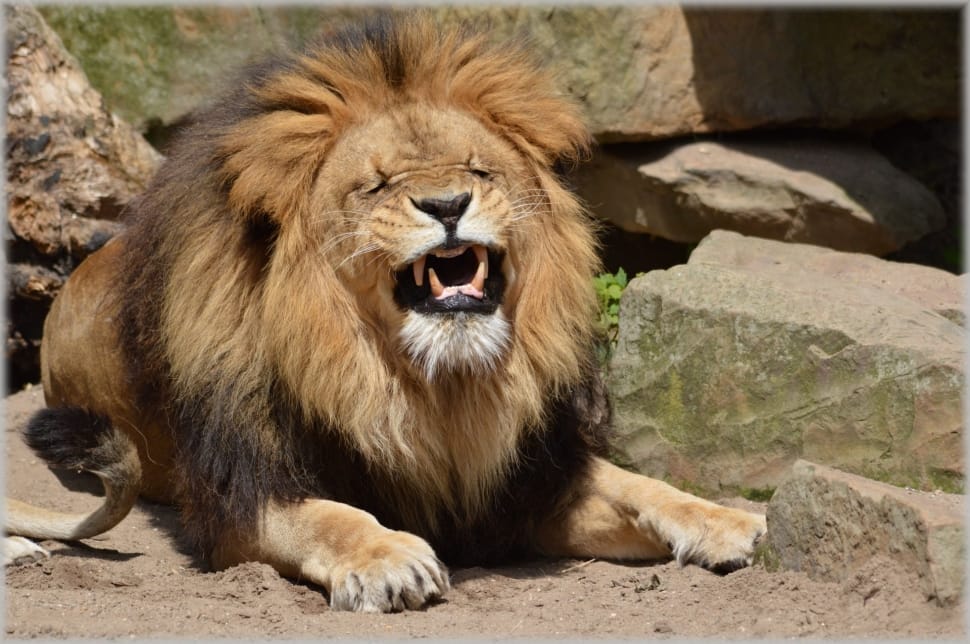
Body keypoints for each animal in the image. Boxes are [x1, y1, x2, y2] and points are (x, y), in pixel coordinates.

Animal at [4, 15, 766, 611]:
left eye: (478, 169)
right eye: (375, 185)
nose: (447, 204)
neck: (437, 387)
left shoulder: (526, 486)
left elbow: (639, 485)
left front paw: (730, 521)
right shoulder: (241, 499)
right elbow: (331, 518)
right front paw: (391, 558)